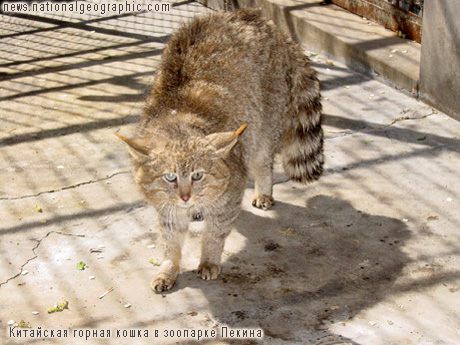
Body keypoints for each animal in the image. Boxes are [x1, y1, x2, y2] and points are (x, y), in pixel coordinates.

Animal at [115, 8, 324, 290]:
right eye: (169, 176)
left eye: (198, 175)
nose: (185, 197)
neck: (177, 117)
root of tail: (269, 26)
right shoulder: (165, 207)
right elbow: (170, 241)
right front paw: (169, 267)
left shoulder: (230, 191)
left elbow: (215, 233)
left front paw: (209, 259)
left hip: (263, 125)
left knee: (263, 161)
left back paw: (263, 189)